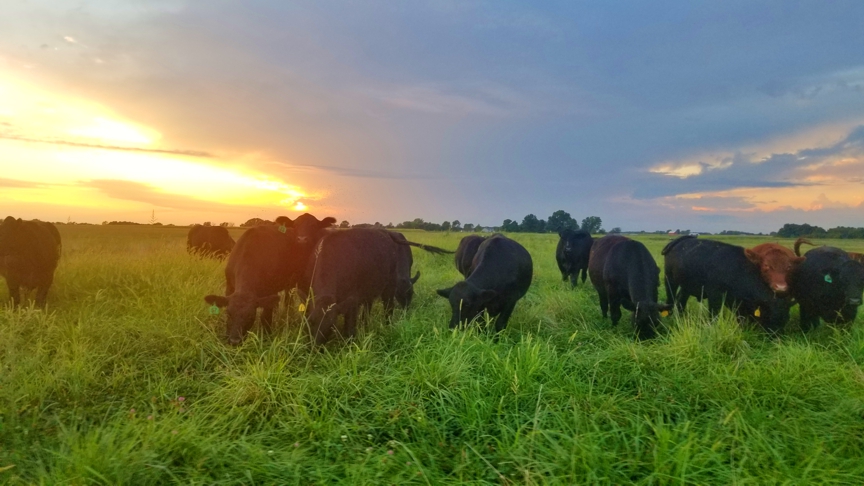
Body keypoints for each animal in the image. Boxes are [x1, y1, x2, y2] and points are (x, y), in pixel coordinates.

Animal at [664, 235, 792, 334]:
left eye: (786, 319)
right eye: (769, 317)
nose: (776, 338)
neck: (737, 269)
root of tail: (681, 241)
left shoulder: (737, 302)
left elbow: (741, 318)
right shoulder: (715, 296)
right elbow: (714, 316)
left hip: (686, 287)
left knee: (681, 301)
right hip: (669, 280)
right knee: (671, 299)